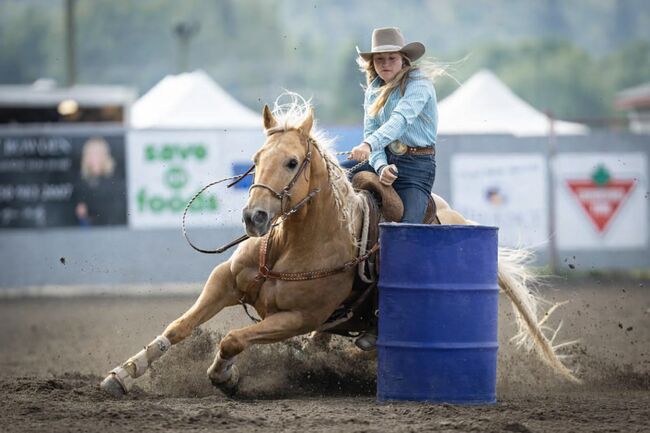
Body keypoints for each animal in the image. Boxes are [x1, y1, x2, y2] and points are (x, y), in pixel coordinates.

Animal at [100, 96, 580, 398]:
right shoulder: (224, 281)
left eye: (292, 162)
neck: (292, 245)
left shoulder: (296, 317)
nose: (254, 217)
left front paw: (226, 377)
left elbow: (235, 339)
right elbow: (179, 327)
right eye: (255, 160)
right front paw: (122, 375)